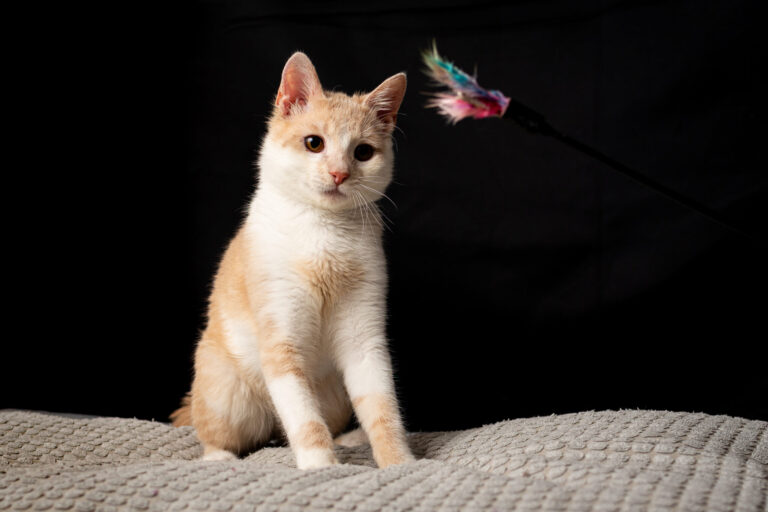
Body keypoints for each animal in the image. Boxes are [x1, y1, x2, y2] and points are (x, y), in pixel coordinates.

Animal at [171, 52, 414, 470]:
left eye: (363, 152)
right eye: (314, 143)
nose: (339, 173)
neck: (323, 232)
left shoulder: (364, 339)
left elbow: (382, 408)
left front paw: (400, 462)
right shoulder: (281, 338)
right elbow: (304, 418)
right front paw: (321, 466)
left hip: (334, 395)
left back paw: (349, 439)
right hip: (227, 392)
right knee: (217, 433)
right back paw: (220, 457)